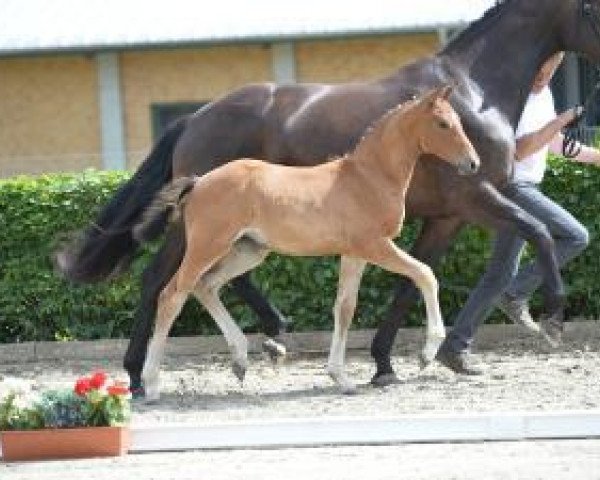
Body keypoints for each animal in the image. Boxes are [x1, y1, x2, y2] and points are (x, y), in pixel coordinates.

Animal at [135, 85, 478, 398]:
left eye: (458, 121)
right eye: (443, 124)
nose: (473, 164)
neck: (368, 178)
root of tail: (198, 182)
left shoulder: (353, 253)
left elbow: (345, 308)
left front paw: (341, 378)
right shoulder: (374, 245)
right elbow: (425, 274)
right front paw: (426, 355)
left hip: (248, 251)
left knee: (205, 286)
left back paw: (240, 361)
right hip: (207, 246)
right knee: (171, 296)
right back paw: (150, 384)